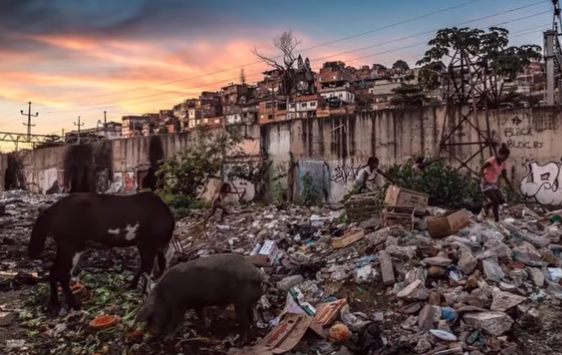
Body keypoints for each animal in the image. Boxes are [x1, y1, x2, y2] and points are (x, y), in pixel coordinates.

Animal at [137, 253, 266, 344]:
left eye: (152, 316)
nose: (152, 332)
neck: (163, 297)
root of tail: (256, 275)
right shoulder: (197, 303)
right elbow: (200, 313)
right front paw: (207, 325)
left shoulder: (178, 307)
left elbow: (174, 321)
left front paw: (168, 338)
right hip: (249, 301)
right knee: (251, 316)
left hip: (240, 302)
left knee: (245, 320)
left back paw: (241, 341)